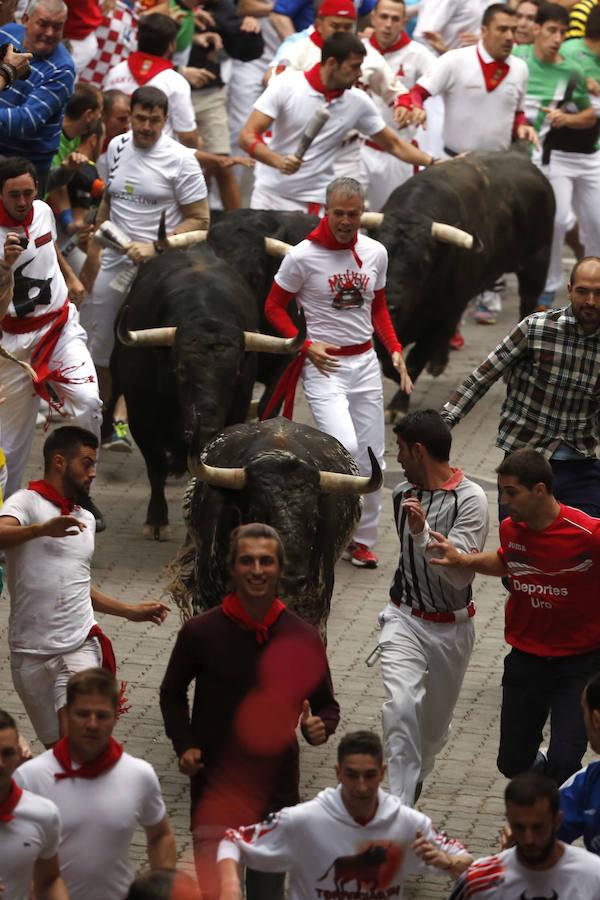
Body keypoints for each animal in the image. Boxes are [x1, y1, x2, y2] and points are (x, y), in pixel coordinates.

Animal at [209, 149, 556, 420]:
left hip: (536, 262)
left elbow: (414, 359)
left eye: (424, 262)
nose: (391, 302)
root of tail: (533, 171)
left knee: (527, 303)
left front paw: (399, 405)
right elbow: (388, 356)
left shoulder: (444, 311)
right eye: (383, 255)